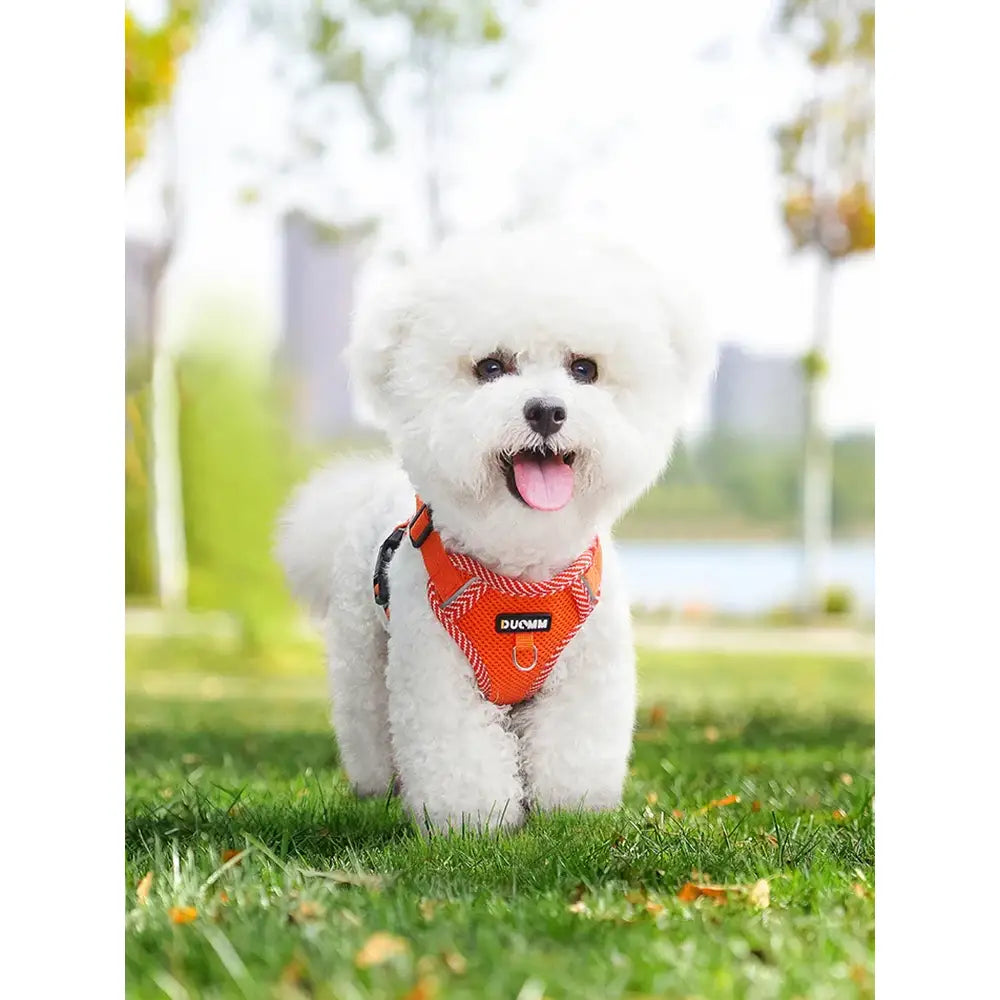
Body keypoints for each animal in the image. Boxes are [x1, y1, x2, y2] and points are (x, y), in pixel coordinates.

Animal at [278, 229, 716, 836]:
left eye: (584, 369)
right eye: (490, 366)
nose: (547, 411)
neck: (521, 576)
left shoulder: (586, 674)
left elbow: (574, 754)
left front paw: (570, 813)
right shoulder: (437, 673)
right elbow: (461, 758)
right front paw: (473, 823)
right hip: (362, 661)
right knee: (368, 728)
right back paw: (378, 789)